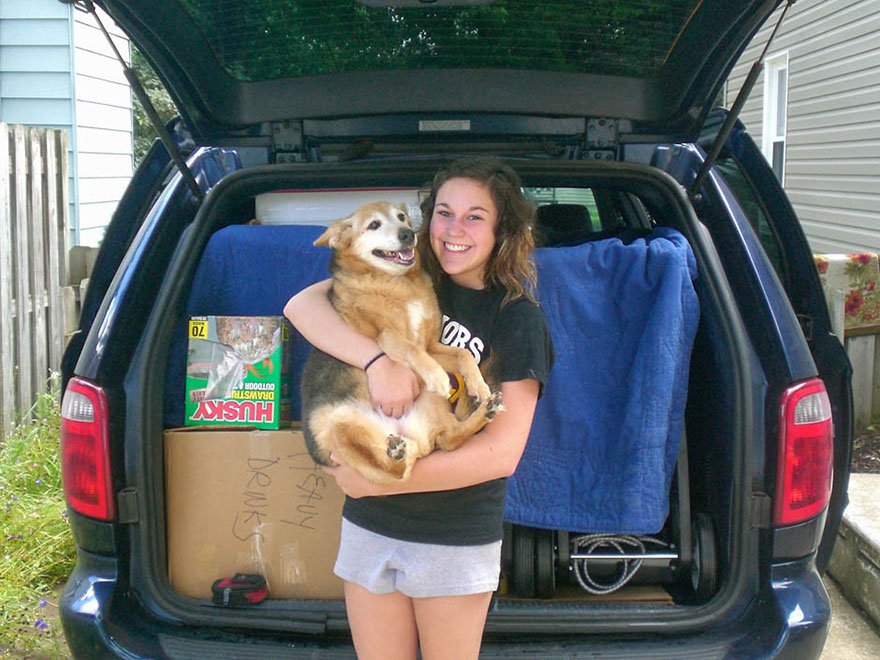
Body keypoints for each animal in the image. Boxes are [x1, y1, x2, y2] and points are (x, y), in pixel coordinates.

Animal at [300, 201, 502, 484]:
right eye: (373, 224)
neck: (399, 282)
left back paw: (485, 410)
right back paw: (395, 453)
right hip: (336, 425)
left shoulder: (432, 348)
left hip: (431, 405)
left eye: (402, 217)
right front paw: (438, 377)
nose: (407, 234)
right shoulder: (388, 337)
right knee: (395, 471)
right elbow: (412, 348)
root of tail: (411, 438)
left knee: (449, 440)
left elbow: (463, 355)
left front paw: (479, 385)